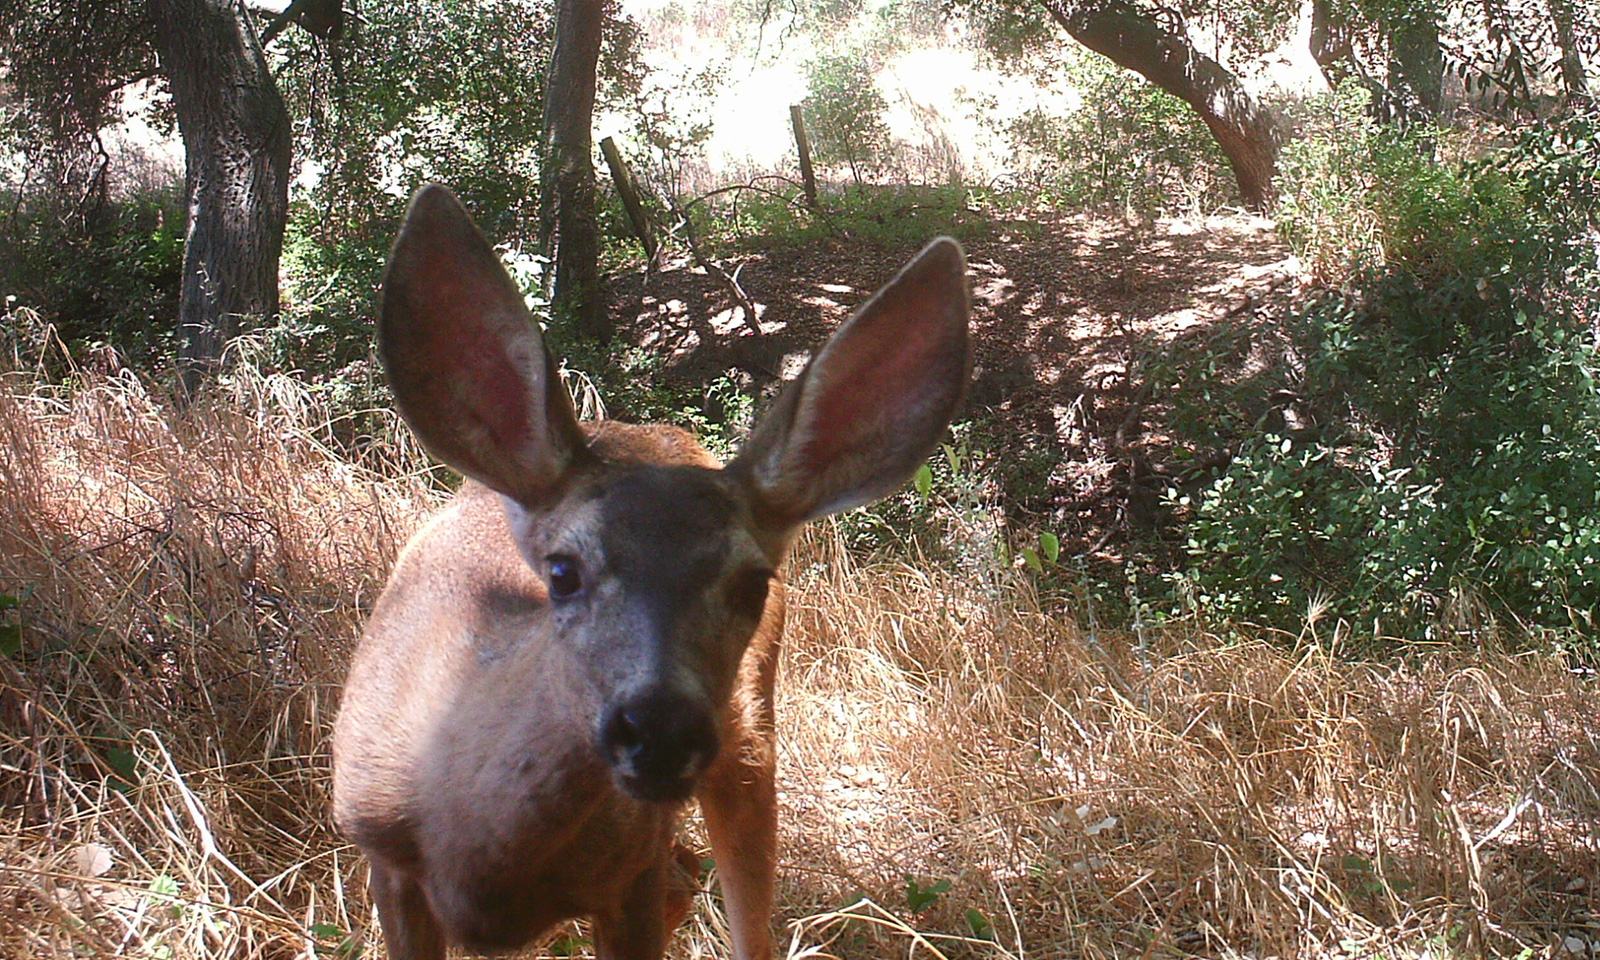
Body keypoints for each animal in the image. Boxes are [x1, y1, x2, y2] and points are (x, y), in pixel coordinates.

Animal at [331, 181, 966, 960]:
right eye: (562, 571)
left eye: (753, 582)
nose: (660, 728)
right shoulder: (380, 854)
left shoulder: (628, 868)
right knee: (687, 877)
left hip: (749, 736)